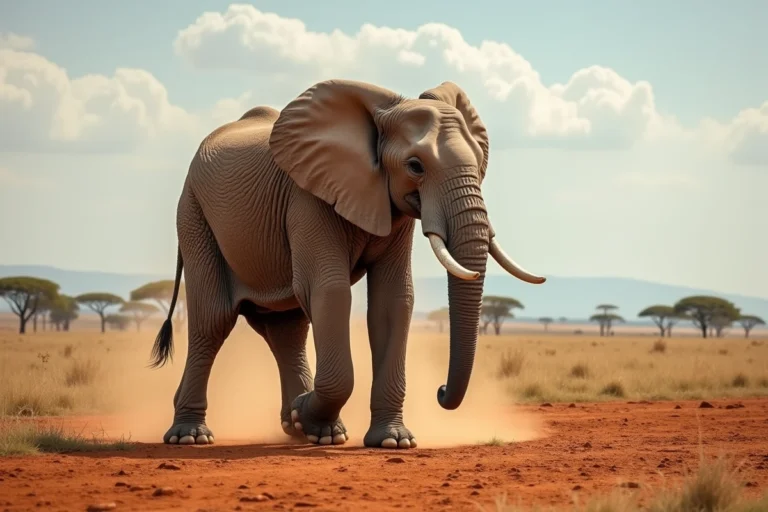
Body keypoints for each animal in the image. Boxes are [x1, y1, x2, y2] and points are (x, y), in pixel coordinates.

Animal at [149, 78, 546, 449]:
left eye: (479, 162)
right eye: (415, 166)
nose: (441, 390)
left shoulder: (391, 206)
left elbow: (394, 300)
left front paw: (391, 441)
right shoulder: (307, 195)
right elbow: (331, 291)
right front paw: (312, 416)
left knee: (286, 328)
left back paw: (302, 430)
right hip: (194, 213)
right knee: (213, 320)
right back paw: (190, 436)